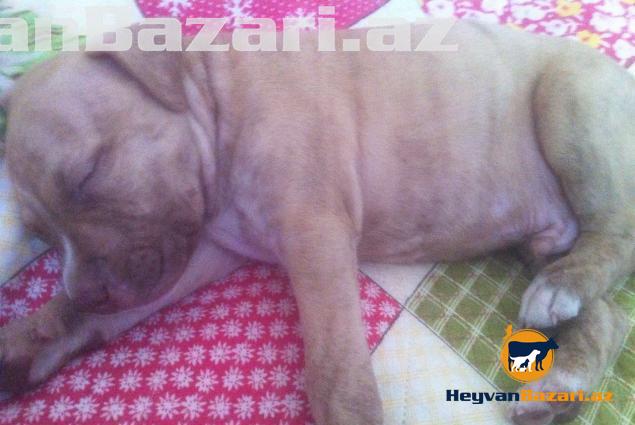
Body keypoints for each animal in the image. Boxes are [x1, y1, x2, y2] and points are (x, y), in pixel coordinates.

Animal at [1, 21, 633, 425]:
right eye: (41, 235)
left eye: (88, 175)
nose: (87, 289)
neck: (216, 99)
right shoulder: (199, 247)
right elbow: (99, 312)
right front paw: (29, 340)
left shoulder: (314, 232)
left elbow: (336, 369)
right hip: (545, 237)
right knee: (608, 317)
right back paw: (560, 386)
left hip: (571, 102)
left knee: (617, 233)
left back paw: (563, 291)